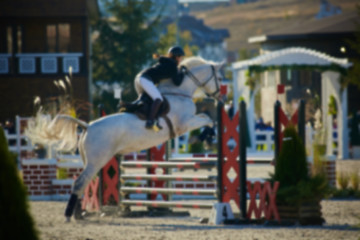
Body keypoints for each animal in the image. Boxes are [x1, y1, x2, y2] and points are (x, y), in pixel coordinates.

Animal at [25, 56, 224, 221]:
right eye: (220, 79)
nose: (221, 98)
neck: (180, 91)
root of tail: (88, 126)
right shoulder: (186, 123)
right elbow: (208, 119)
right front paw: (207, 136)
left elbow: (207, 118)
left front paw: (208, 136)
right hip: (97, 160)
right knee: (80, 182)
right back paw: (70, 215)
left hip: (90, 161)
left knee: (83, 183)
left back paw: (79, 214)